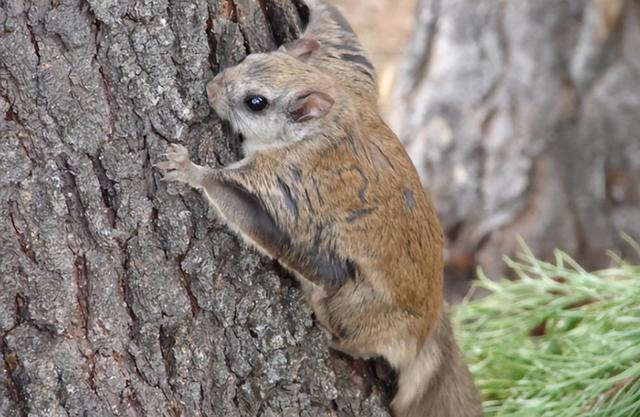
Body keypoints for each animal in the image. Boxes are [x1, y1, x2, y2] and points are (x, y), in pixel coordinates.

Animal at [158, 1, 482, 414]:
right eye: (249, 57)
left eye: (255, 103)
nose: (211, 88)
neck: (326, 122)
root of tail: (427, 329)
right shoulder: (350, 74)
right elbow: (339, 31)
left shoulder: (287, 182)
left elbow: (241, 203)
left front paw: (189, 170)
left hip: (352, 304)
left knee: (357, 341)